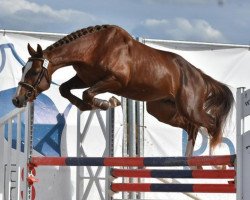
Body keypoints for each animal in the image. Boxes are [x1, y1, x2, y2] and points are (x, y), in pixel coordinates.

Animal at [12, 24, 234, 157]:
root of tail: (200, 75)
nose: (17, 100)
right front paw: (91, 106)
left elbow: (87, 93)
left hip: (190, 107)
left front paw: (107, 103)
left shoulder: (115, 81)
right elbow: (66, 90)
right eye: (22, 70)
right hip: (162, 110)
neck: (94, 47)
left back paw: (214, 161)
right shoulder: (85, 79)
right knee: (191, 127)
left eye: (34, 72)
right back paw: (190, 161)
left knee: (211, 124)